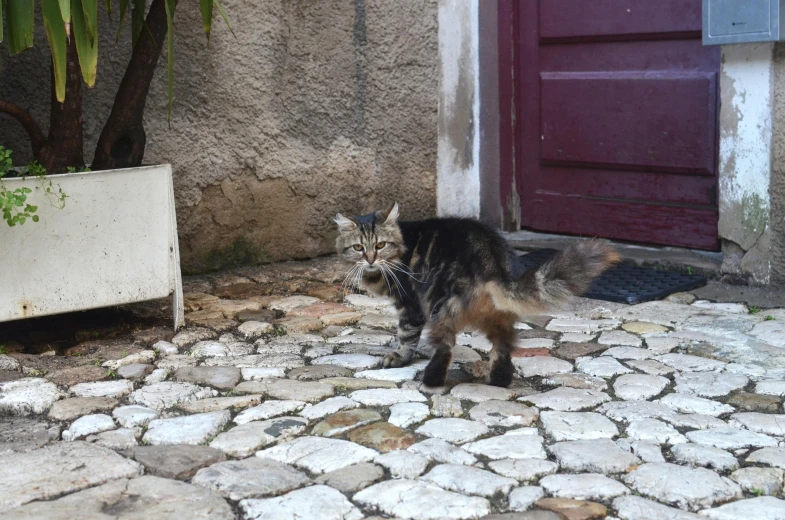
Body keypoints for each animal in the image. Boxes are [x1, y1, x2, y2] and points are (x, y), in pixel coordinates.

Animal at [334, 202, 620, 386]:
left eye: (380, 245)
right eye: (358, 247)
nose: (370, 259)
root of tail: (492, 259)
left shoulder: (410, 305)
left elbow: (406, 336)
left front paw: (399, 357)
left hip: (440, 307)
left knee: (446, 347)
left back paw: (431, 380)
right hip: (498, 317)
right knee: (504, 346)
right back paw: (499, 381)